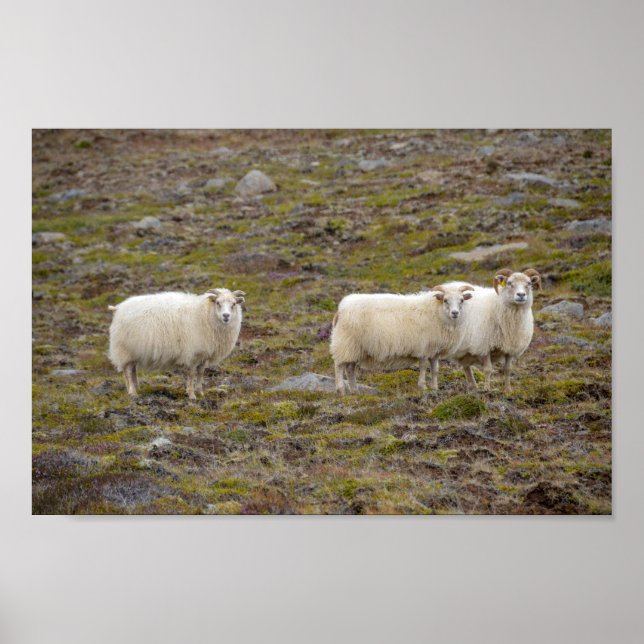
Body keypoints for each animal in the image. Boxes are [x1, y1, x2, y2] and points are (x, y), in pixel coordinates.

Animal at [108, 288, 245, 399]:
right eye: (218, 303)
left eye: (233, 304)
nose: (226, 316)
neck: (204, 313)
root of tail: (118, 308)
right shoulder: (192, 353)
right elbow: (191, 374)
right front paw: (191, 395)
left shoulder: (204, 355)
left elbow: (201, 373)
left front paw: (200, 393)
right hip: (124, 349)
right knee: (128, 371)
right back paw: (133, 392)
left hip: (133, 350)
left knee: (132, 370)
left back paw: (136, 389)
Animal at [329, 283, 475, 395]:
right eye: (445, 300)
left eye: (462, 300)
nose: (455, 313)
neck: (436, 311)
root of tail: (340, 309)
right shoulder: (423, 347)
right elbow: (423, 367)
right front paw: (423, 386)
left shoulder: (434, 350)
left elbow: (435, 369)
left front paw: (435, 388)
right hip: (345, 343)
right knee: (339, 366)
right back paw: (341, 390)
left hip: (354, 347)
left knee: (350, 368)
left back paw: (354, 391)